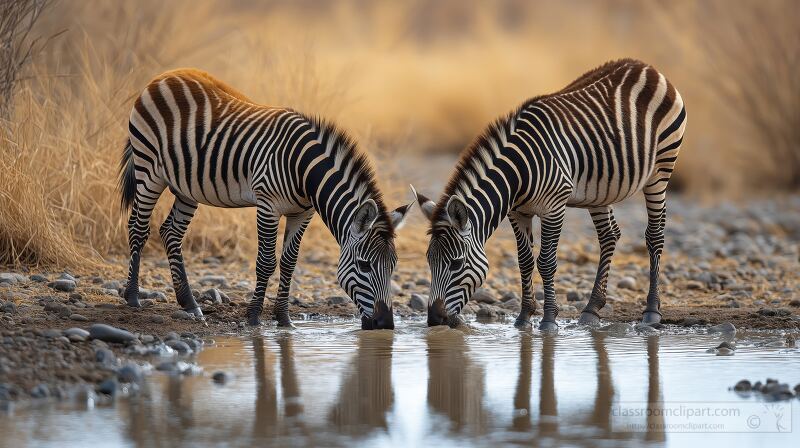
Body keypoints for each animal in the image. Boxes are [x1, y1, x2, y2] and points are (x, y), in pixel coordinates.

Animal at [117, 69, 412, 328]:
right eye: (364, 265)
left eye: (393, 266)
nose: (386, 324)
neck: (304, 170)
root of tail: (162, 76)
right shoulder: (268, 205)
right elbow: (267, 262)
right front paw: (254, 317)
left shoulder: (302, 213)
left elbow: (289, 264)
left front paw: (284, 320)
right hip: (148, 169)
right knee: (138, 228)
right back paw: (132, 298)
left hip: (187, 185)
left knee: (171, 233)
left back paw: (189, 303)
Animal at [416, 59, 684, 330]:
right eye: (429, 261)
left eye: (456, 263)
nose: (434, 319)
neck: (518, 173)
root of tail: (644, 66)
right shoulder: (517, 213)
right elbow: (524, 262)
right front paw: (524, 317)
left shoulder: (554, 206)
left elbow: (546, 262)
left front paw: (548, 320)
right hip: (601, 188)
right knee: (609, 235)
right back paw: (592, 309)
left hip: (661, 168)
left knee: (655, 235)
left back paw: (651, 311)